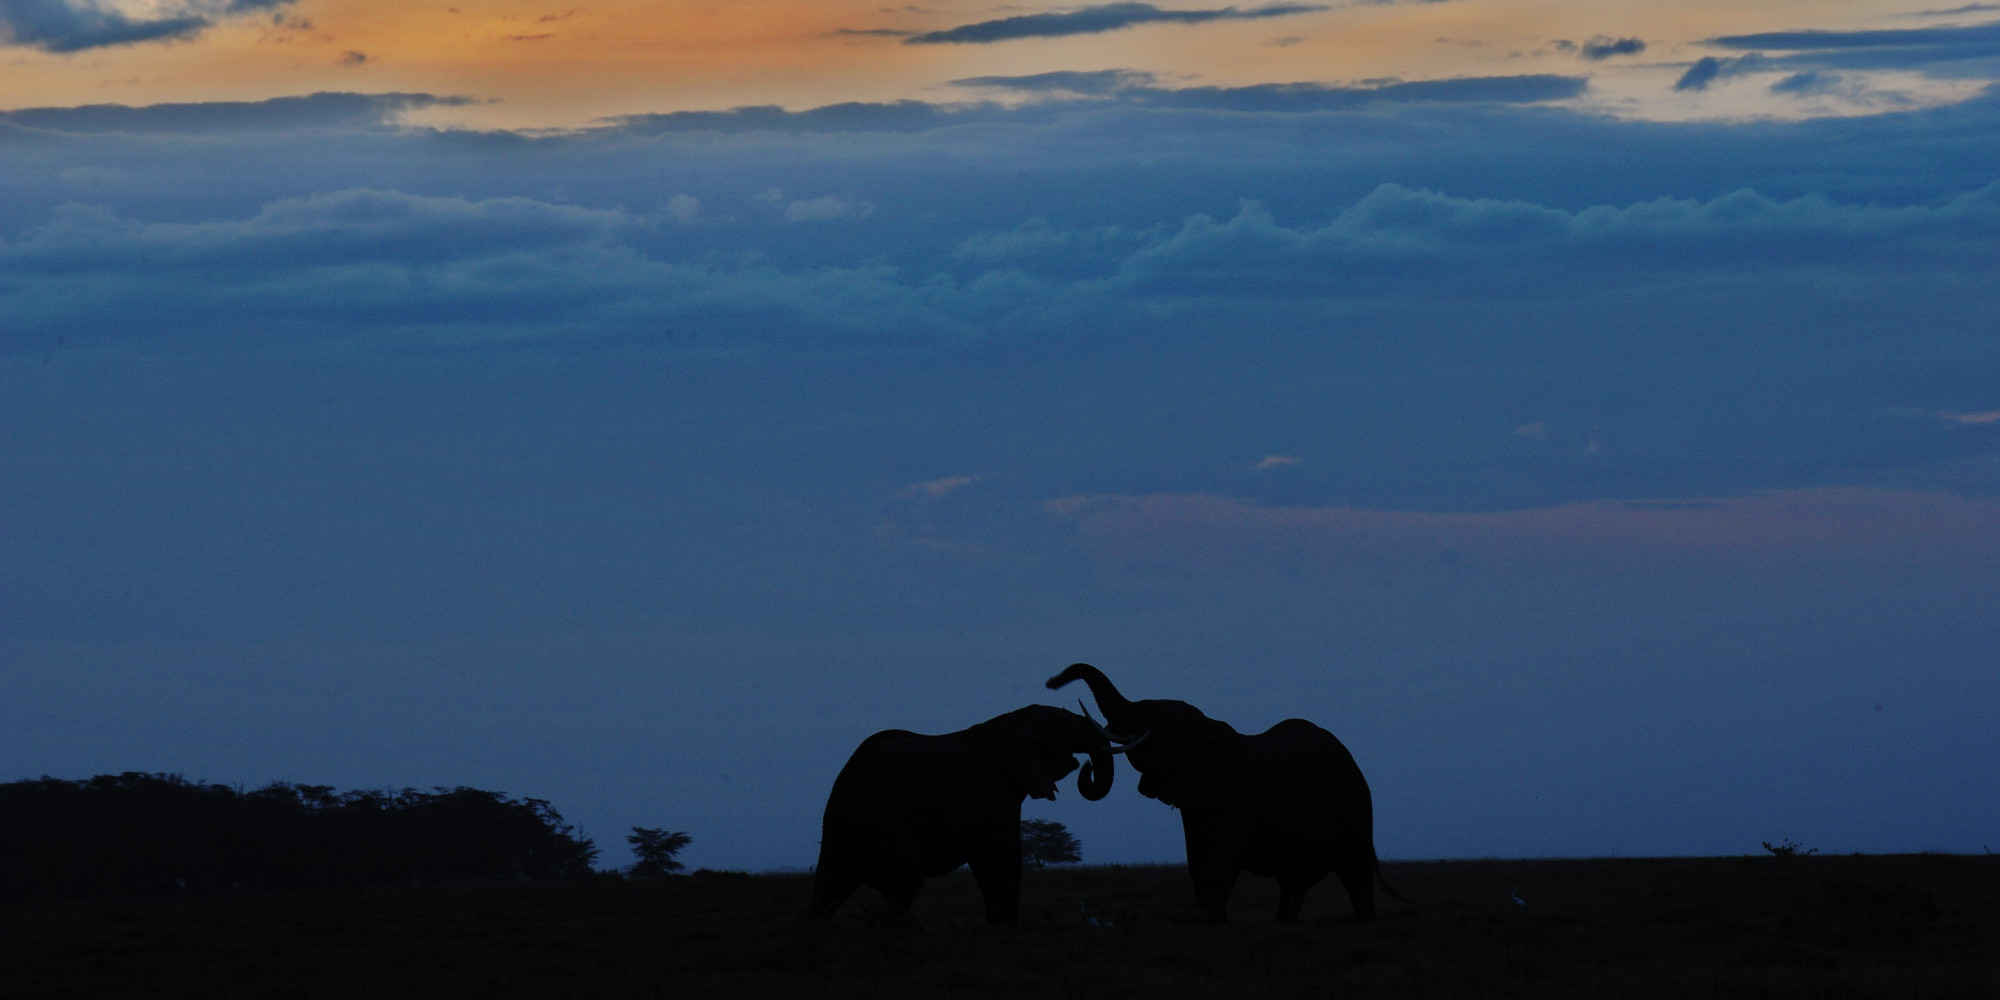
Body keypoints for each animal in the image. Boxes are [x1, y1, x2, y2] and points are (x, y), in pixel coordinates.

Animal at [812, 704, 1128, 920]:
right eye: (1066, 725)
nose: (1086, 766)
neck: (1014, 720)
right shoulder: (993, 799)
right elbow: (1003, 862)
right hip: (887, 826)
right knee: (903, 884)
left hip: (840, 831)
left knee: (830, 889)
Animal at [1048, 664, 1408, 920]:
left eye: (1159, 724)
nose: (1052, 682)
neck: (1207, 728)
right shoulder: (1195, 802)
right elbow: (1197, 859)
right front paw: (1210, 919)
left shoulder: (1236, 799)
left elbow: (1220, 858)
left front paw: (1214, 922)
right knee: (1293, 880)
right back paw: (1284, 923)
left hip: (1358, 811)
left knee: (1354, 872)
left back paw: (1364, 921)